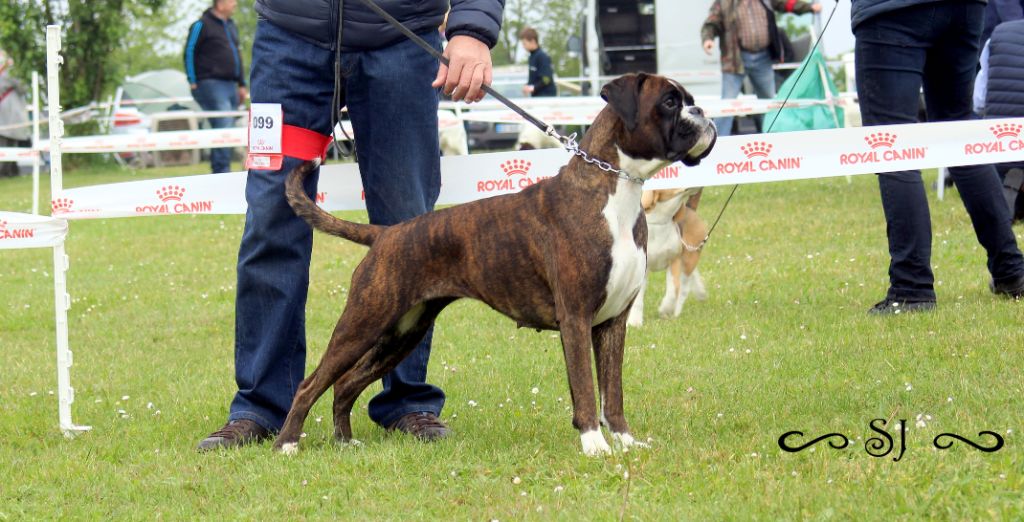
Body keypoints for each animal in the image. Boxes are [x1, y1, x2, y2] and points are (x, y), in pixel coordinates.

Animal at [626, 187, 708, 325]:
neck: (660, 221)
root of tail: (690, 208)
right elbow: (637, 298)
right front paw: (635, 322)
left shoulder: (674, 260)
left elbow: (674, 289)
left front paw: (666, 309)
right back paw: (700, 292)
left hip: (690, 257)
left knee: (684, 288)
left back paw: (677, 312)